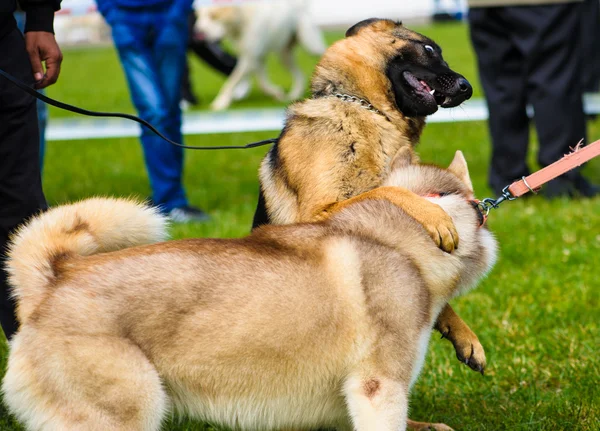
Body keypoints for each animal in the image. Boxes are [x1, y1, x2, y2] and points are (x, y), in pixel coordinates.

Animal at [196, 0, 328, 111]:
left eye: (213, 16)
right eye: (199, 17)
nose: (198, 31)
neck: (243, 19)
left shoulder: (249, 59)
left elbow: (231, 82)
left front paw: (220, 102)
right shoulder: (256, 58)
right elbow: (262, 83)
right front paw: (276, 93)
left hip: (310, 44)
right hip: (284, 55)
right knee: (299, 75)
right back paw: (293, 95)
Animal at [252, 21, 482, 418]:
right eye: (429, 49)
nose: (468, 87)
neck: (371, 112)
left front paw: (464, 335)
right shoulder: (319, 211)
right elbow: (387, 191)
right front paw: (434, 215)